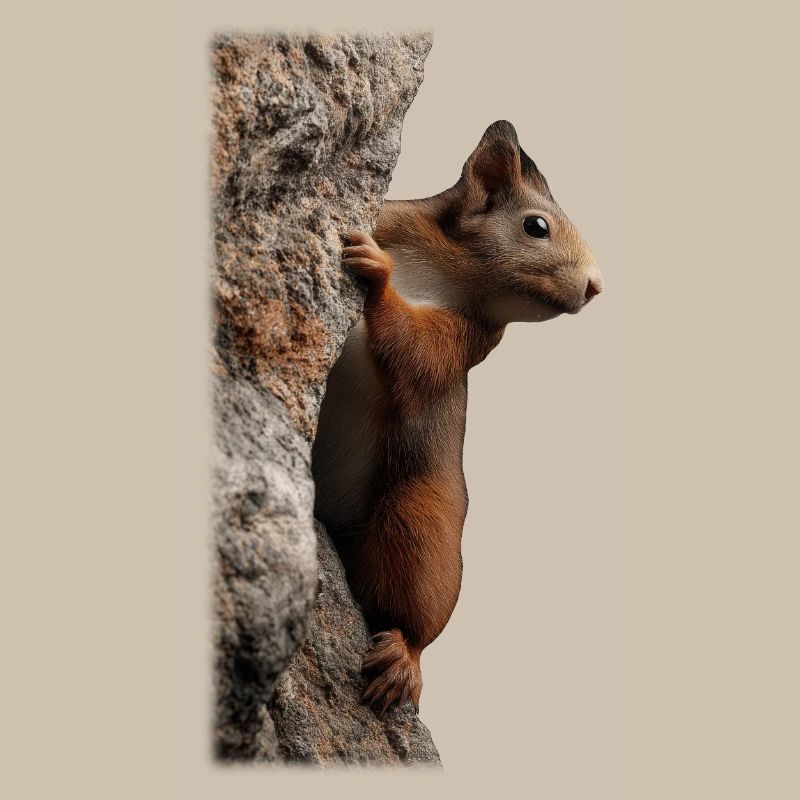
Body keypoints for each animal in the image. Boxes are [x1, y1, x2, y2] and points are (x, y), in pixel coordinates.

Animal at [311, 120, 603, 716]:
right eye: (536, 226)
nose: (596, 284)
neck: (453, 265)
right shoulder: (397, 219)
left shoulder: (469, 338)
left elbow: (418, 354)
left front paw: (379, 276)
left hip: (424, 517)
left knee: (415, 601)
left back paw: (403, 657)